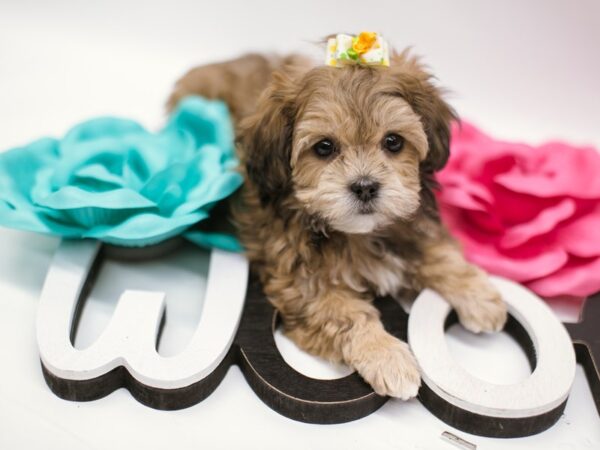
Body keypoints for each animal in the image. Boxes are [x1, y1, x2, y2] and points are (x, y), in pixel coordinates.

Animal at [168, 41, 506, 398]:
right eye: (324, 147)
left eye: (393, 141)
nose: (365, 186)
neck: (358, 235)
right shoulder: (303, 285)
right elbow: (349, 316)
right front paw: (387, 357)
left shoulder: (414, 225)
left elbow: (438, 253)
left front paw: (480, 297)